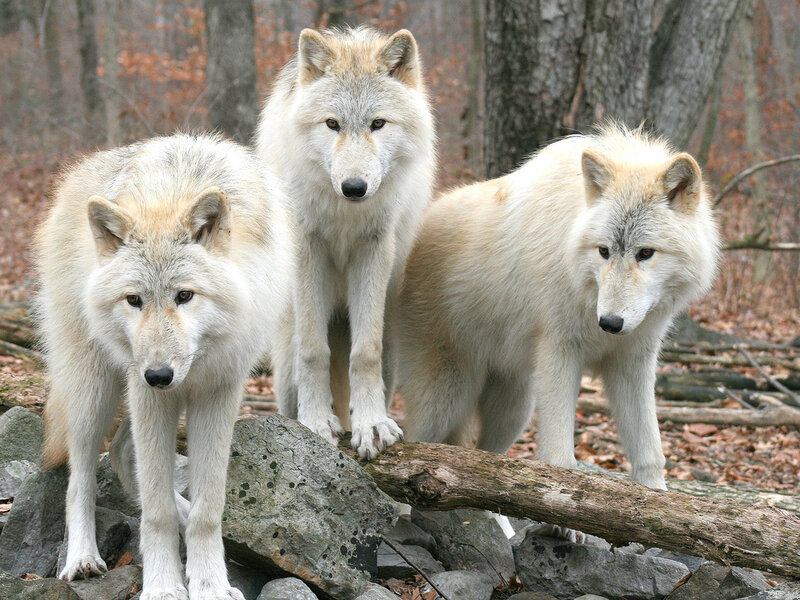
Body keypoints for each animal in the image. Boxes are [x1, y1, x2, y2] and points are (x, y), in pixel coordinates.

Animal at [35, 134, 291, 600]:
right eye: (134, 299)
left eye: (184, 296)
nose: (158, 376)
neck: (172, 192)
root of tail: (71, 180)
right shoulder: (148, 395)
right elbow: (155, 512)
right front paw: (164, 586)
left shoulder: (218, 394)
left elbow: (209, 508)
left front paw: (210, 584)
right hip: (95, 391)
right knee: (80, 475)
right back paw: (81, 558)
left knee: (122, 452)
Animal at [256, 27, 436, 459]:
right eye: (332, 124)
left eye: (378, 123)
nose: (354, 187)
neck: (344, 212)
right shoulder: (308, 248)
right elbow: (313, 351)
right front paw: (316, 423)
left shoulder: (374, 248)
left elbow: (363, 354)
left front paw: (371, 425)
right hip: (284, 362)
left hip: (390, 344)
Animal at [398, 125, 719, 530]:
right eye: (603, 251)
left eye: (645, 253)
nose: (610, 323)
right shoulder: (559, 354)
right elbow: (559, 455)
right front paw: (566, 517)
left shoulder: (632, 362)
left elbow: (649, 449)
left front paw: (661, 508)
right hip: (446, 398)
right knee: (410, 448)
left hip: (514, 407)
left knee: (484, 466)